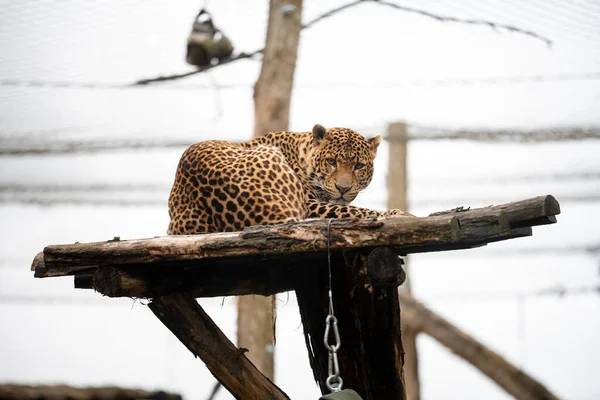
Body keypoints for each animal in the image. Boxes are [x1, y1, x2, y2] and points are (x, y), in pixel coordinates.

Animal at [166, 124, 406, 234]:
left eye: (359, 166)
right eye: (331, 161)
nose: (343, 188)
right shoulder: (310, 203)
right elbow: (354, 210)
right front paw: (394, 213)